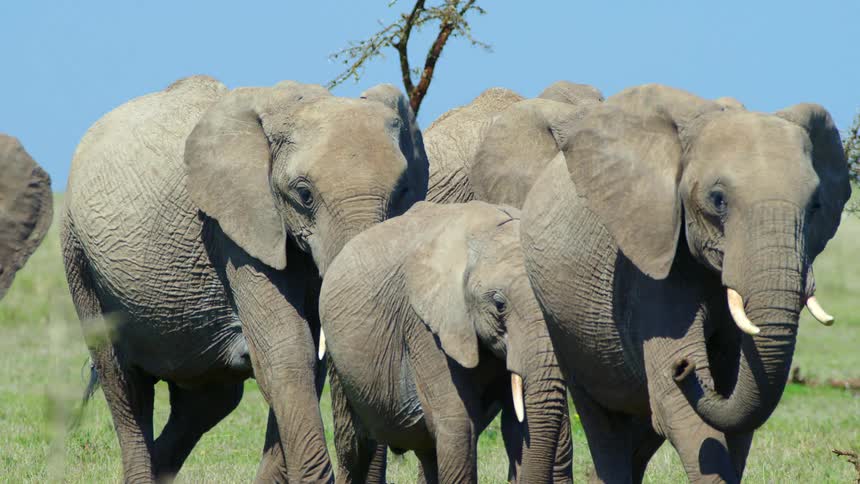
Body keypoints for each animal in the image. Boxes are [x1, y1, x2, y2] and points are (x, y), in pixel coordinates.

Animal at [61, 76, 428, 482]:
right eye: (304, 195)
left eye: (403, 191)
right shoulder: (234, 229)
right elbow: (287, 353)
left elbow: (306, 362)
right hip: (78, 256)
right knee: (125, 387)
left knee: (206, 402)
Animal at [319, 201, 570, 483]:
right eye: (499, 305)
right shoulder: (424, 326)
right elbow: (458, 423)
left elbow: (514, 424)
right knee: (356, 446)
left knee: (426, 450)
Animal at [518, 84, 850, 482]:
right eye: (718, 199)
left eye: (816, 205)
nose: (684, 368)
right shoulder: (650, 266)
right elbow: (679, 409)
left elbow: (739, 409)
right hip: (564, 326)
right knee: (604, 421)